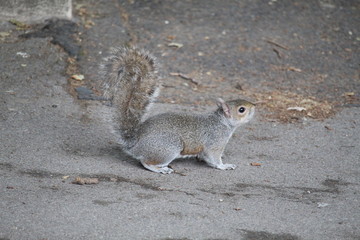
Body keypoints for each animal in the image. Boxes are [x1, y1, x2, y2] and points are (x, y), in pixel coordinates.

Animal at [100, 47, 255, 174]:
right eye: (241, 110)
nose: (254, 106)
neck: (221, 122)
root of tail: (135, 143)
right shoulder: (214, 142)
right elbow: (213, 158)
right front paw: (224, 166)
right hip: (169, 147)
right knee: (146, 162)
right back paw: (161, 169)